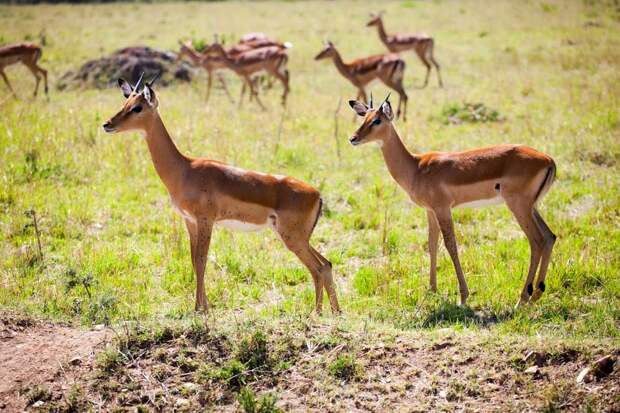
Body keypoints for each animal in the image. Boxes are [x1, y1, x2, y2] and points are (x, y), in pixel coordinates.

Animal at [101, 73, 340, 312]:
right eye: (125, 103)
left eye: (138, 107)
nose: (107, 124)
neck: (184, 169)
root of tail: (317, 195)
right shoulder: (190, 221)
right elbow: (194, 260)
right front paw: (203, 305)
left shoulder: (205, 220)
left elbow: (201, 261)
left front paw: (199, 308)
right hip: (297, 237)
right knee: (326, 264)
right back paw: (335, 311)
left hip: (292, 238)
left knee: (317, 268)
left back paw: (316, 313)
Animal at [348, 94, 556, 306]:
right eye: (364, 117)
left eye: (377, 120)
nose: (353, 138)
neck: (416, 167)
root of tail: (549, 160)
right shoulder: (430, 211)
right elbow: (432, 244)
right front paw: (431, 290)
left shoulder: (443, 209)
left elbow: (451, 246)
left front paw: (463, 297)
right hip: (531, 207)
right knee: (549, 237)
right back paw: (536, 294)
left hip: (518, 206)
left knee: (537, 241)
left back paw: (522, 300)